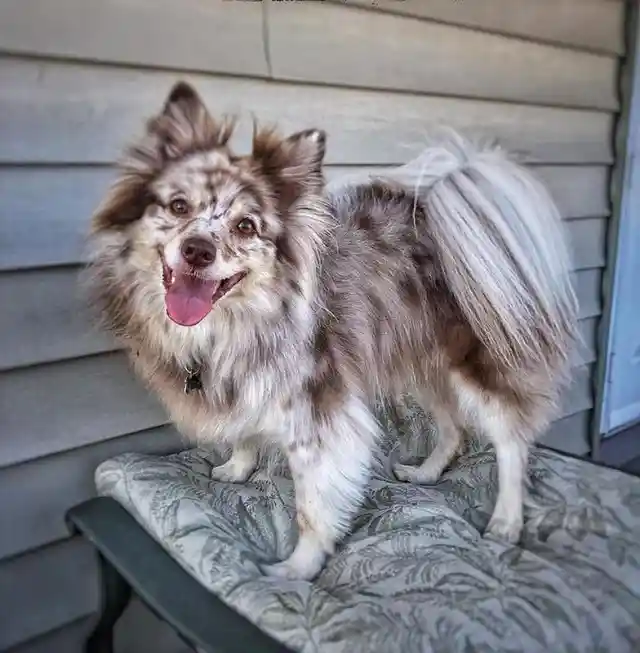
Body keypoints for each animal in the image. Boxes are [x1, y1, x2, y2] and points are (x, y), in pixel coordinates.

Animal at [85, 83, 580, 580]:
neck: (232, 325)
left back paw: (506, 521)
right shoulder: (240, 382)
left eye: (246, 226)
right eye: (177, 206)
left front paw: (298, 568)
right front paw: (238, 468)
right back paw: (425, 473)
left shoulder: (321, 414)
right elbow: (243, 430)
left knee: (512, 441)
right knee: (453, 429)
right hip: (425, 366)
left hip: (479, 369)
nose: (197, 250)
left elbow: (312, 505)